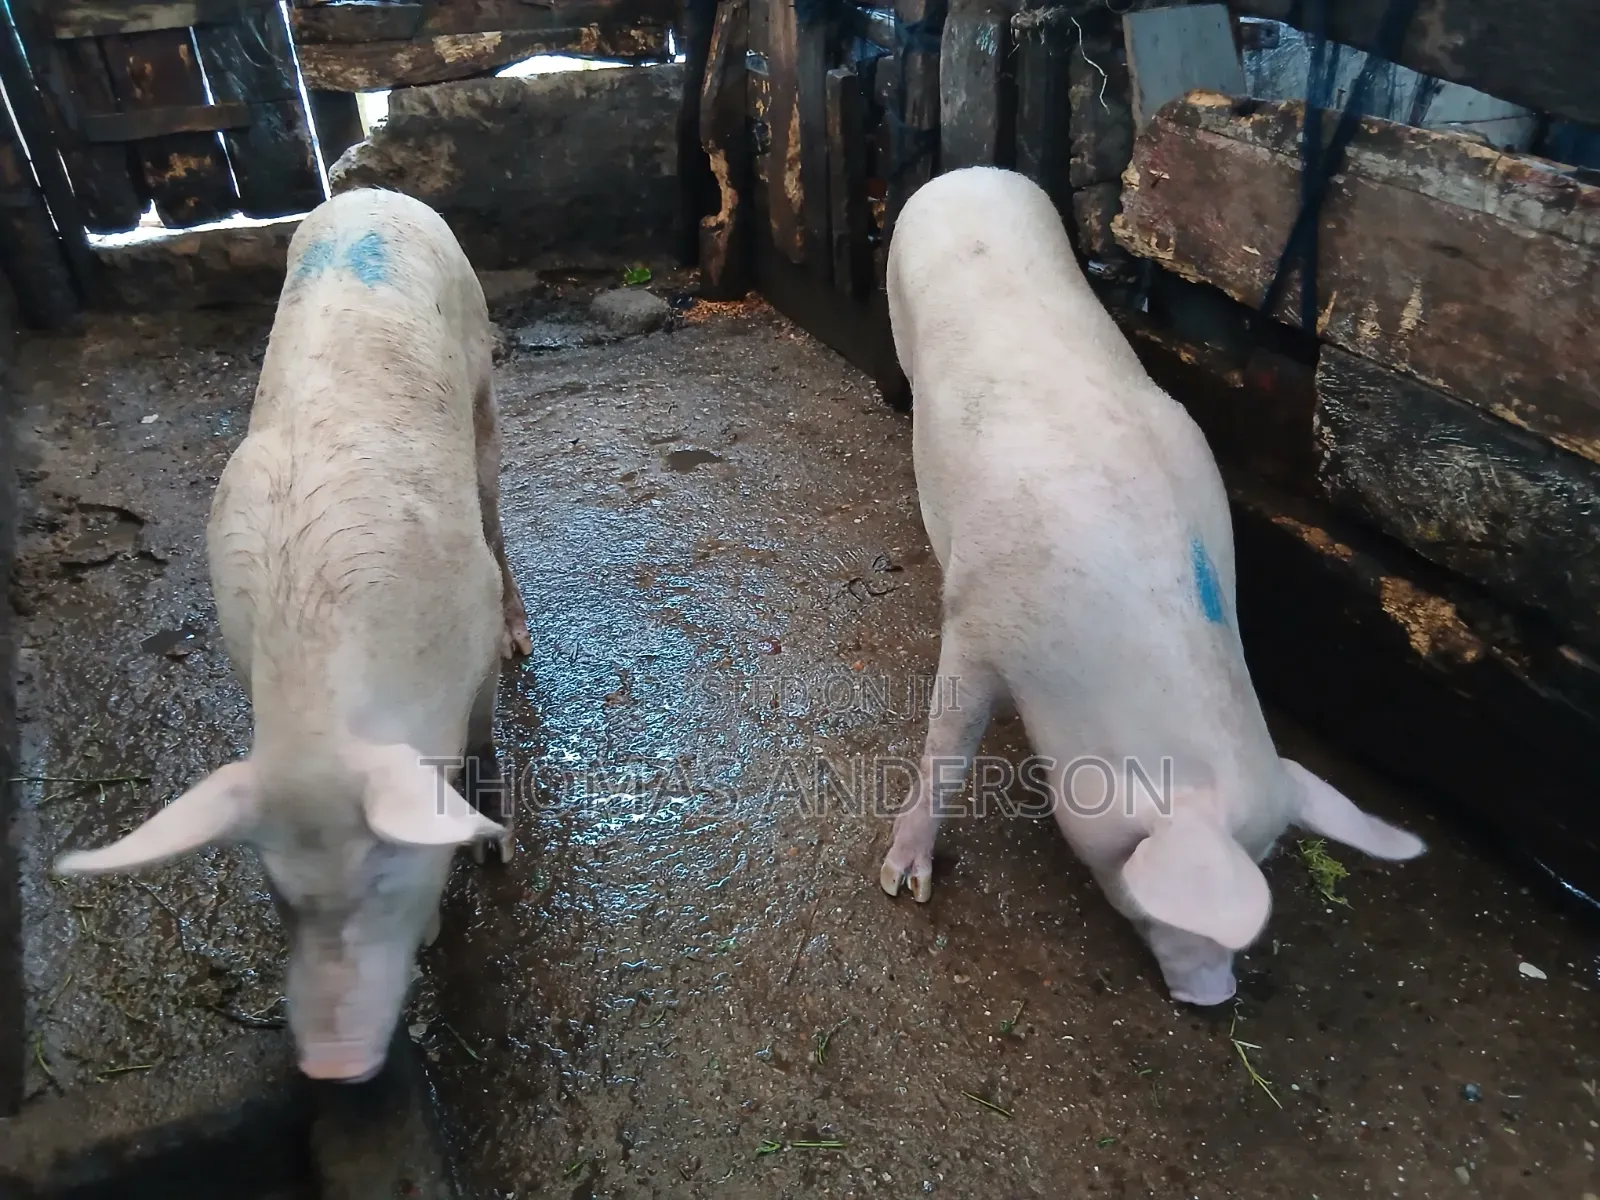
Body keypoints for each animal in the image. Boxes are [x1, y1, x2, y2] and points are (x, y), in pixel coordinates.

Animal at [53, 187, 533, 1081]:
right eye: (278, 895)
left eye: (383, 871)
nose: (332, 1068)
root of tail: (369, 191)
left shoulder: (472, 640)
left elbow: (485, 741)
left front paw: (496, 848)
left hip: (482, 372)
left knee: (495, 505)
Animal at [876, 167, 1424, 1006]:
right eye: (1148, 866)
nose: (1215, 997)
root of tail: (970, 173)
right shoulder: (974, 621)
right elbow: (946, 746)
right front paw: (902, 884)